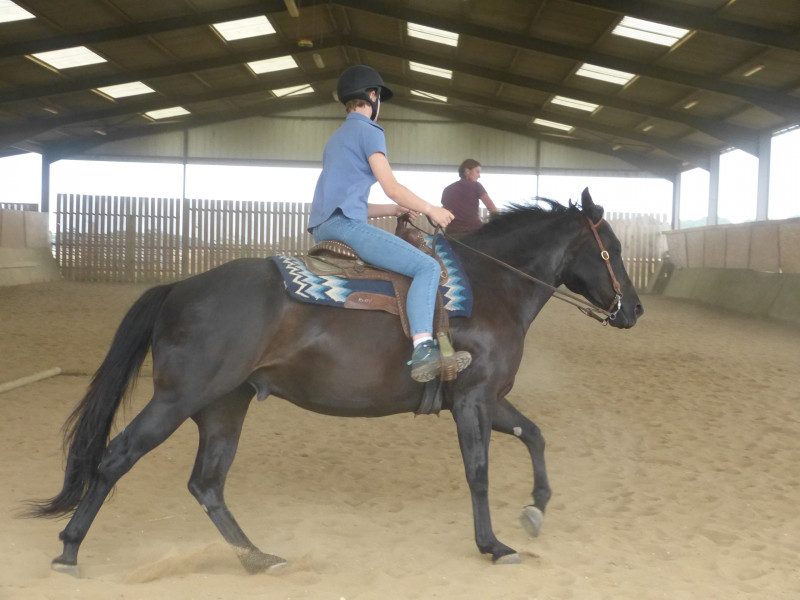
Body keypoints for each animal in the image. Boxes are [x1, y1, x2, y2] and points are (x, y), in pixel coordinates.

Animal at [31, 188, 640, 572]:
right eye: (611, 248)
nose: (633, 309)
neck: (491, 288)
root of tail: (180, 287)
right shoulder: (472, 400)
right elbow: (480, 473)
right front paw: (493, 544)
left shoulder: (489, 399)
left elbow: (534, 435)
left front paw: (536, 508)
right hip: (177, 400)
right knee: (117, 458)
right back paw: (68, 550)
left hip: (224, 407)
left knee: (206, 484)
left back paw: (258, 558)